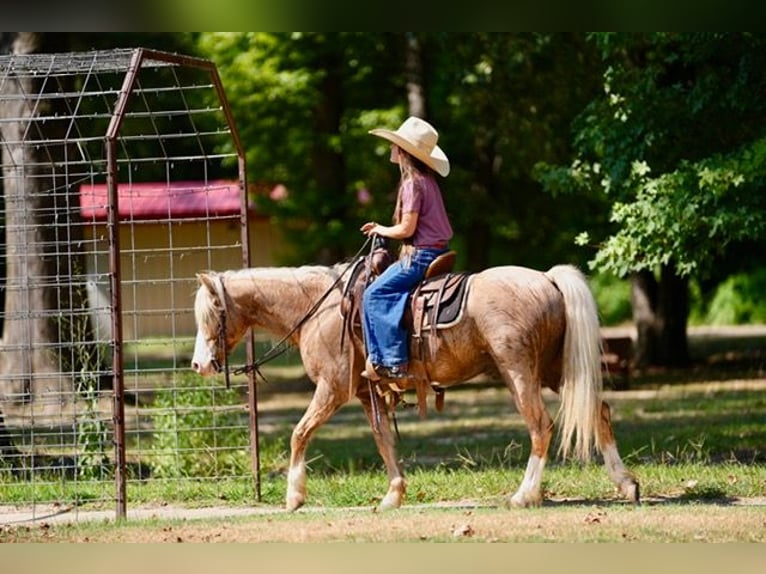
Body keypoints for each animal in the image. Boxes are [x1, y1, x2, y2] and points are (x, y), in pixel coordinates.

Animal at [191, 261, 639, 511]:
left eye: (212, 313)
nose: (199, 364)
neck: (319, 307)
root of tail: (547, 279)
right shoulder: (364, 393)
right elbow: (384, 440)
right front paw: (393, 495)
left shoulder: (332, 388)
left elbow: (299, 433)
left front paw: (294, 496)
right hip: (555, 370)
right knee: (599, 410)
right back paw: (627, 484)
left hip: (519, 372)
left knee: (541, 425)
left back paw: (524, 495)